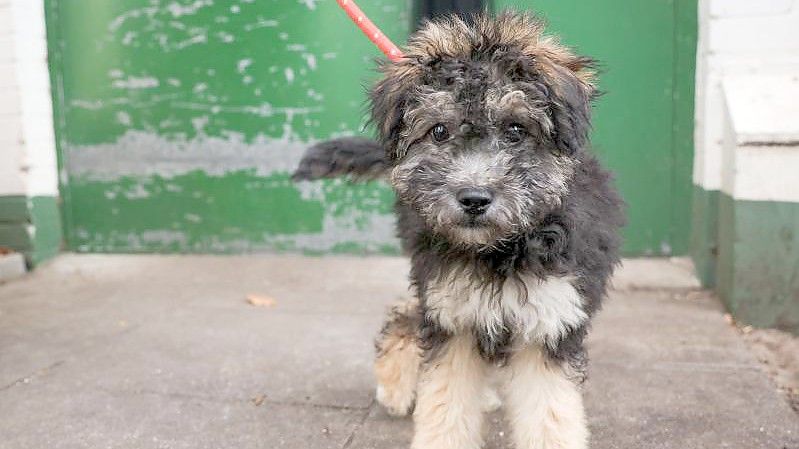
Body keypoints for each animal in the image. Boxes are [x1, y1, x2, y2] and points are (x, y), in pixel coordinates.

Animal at [294, 11, 624, 448]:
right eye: (439, 131)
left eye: (515, 130)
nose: (473, 198)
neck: (500, 250)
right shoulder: (453, 317)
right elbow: (446, 404)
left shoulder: (549, 321)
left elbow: (549, 416)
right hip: (433, 282)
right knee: (406, 314)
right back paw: (395, 386)